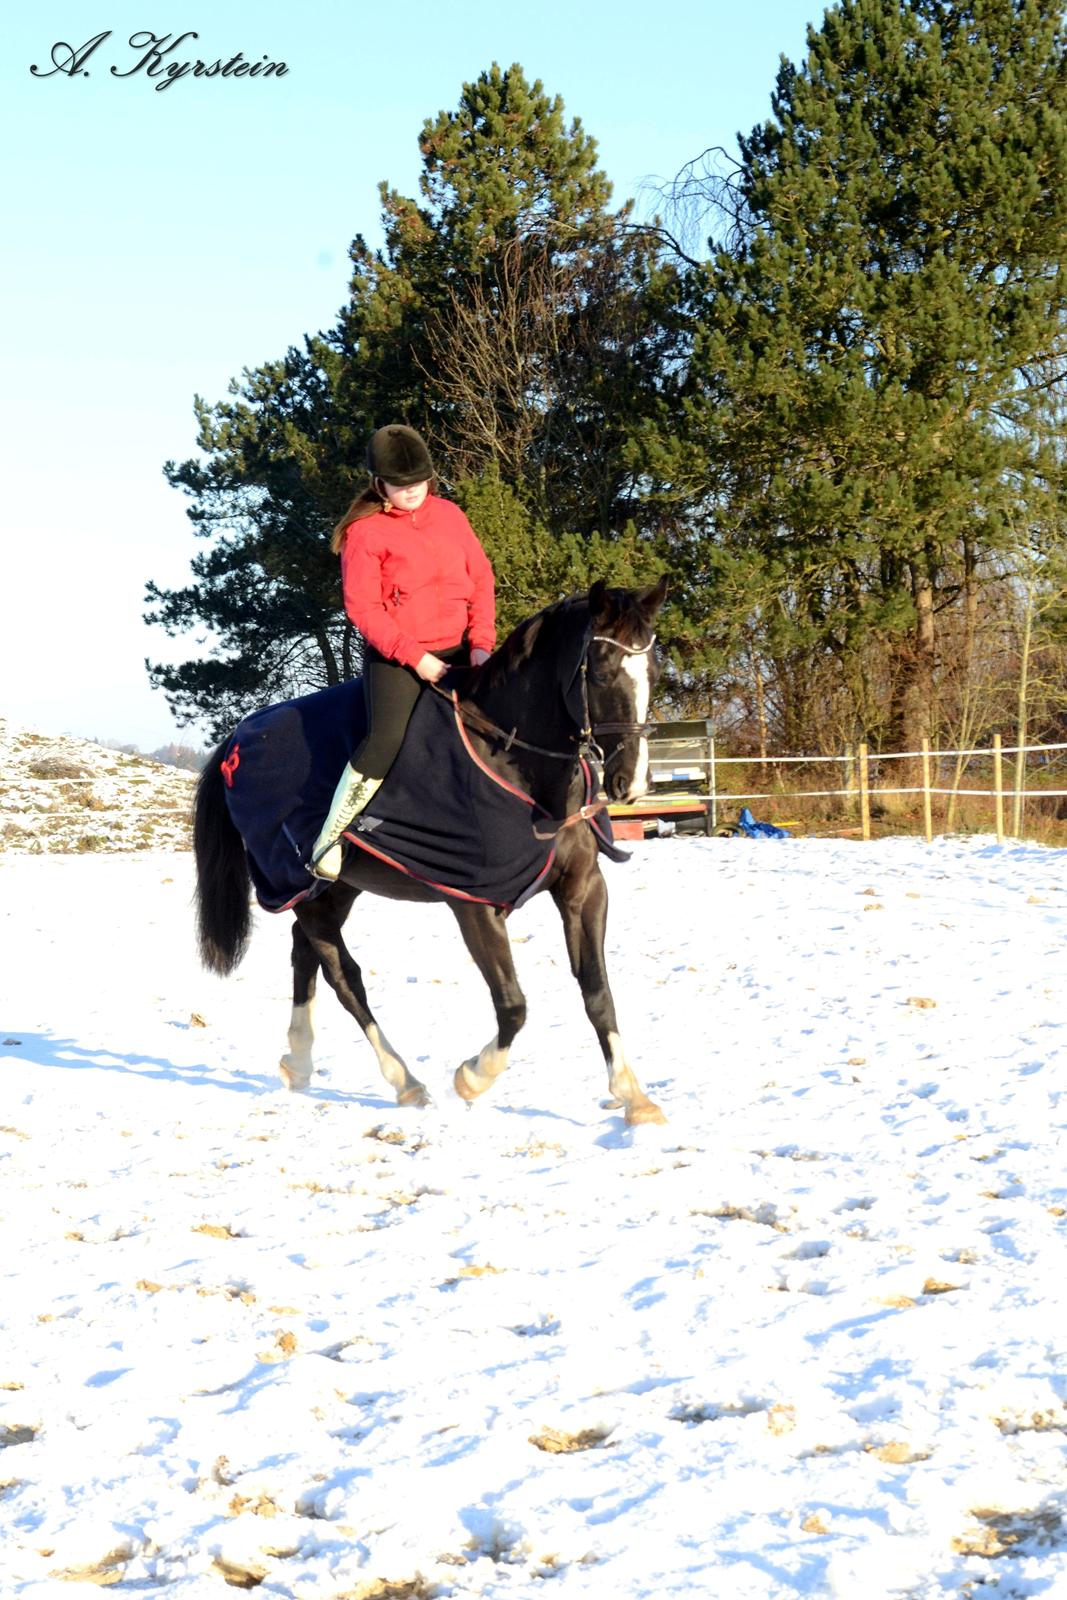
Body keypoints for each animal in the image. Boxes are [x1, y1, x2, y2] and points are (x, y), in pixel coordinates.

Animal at [187, 579, 662, 1126]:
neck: (515, 763)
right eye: (602, 673)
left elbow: (597, 993)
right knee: (342, 975)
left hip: (332, 890)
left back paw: (299, 1061)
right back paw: (404, 1081)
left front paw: (633, 1096)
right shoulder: (473, 905)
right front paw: (473, 1077)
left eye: (653, 671)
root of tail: (238, 740)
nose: (633, 783)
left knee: (304, 954)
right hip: (299, 885)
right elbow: (513, 1005)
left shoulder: (583, 889)